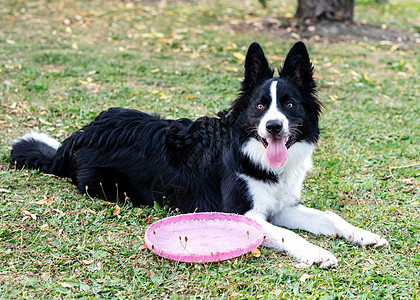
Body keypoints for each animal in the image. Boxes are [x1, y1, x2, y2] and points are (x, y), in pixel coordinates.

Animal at [9, 41, 388, 266]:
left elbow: (330, 217)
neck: (251, 150)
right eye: (260, 106)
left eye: (290, 105)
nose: (273, 127)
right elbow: (287, 234)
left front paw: (364, 235)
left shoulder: (281, 206)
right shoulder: (243, 213)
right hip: (108, 186)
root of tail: (81, 133)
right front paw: (318, 252)